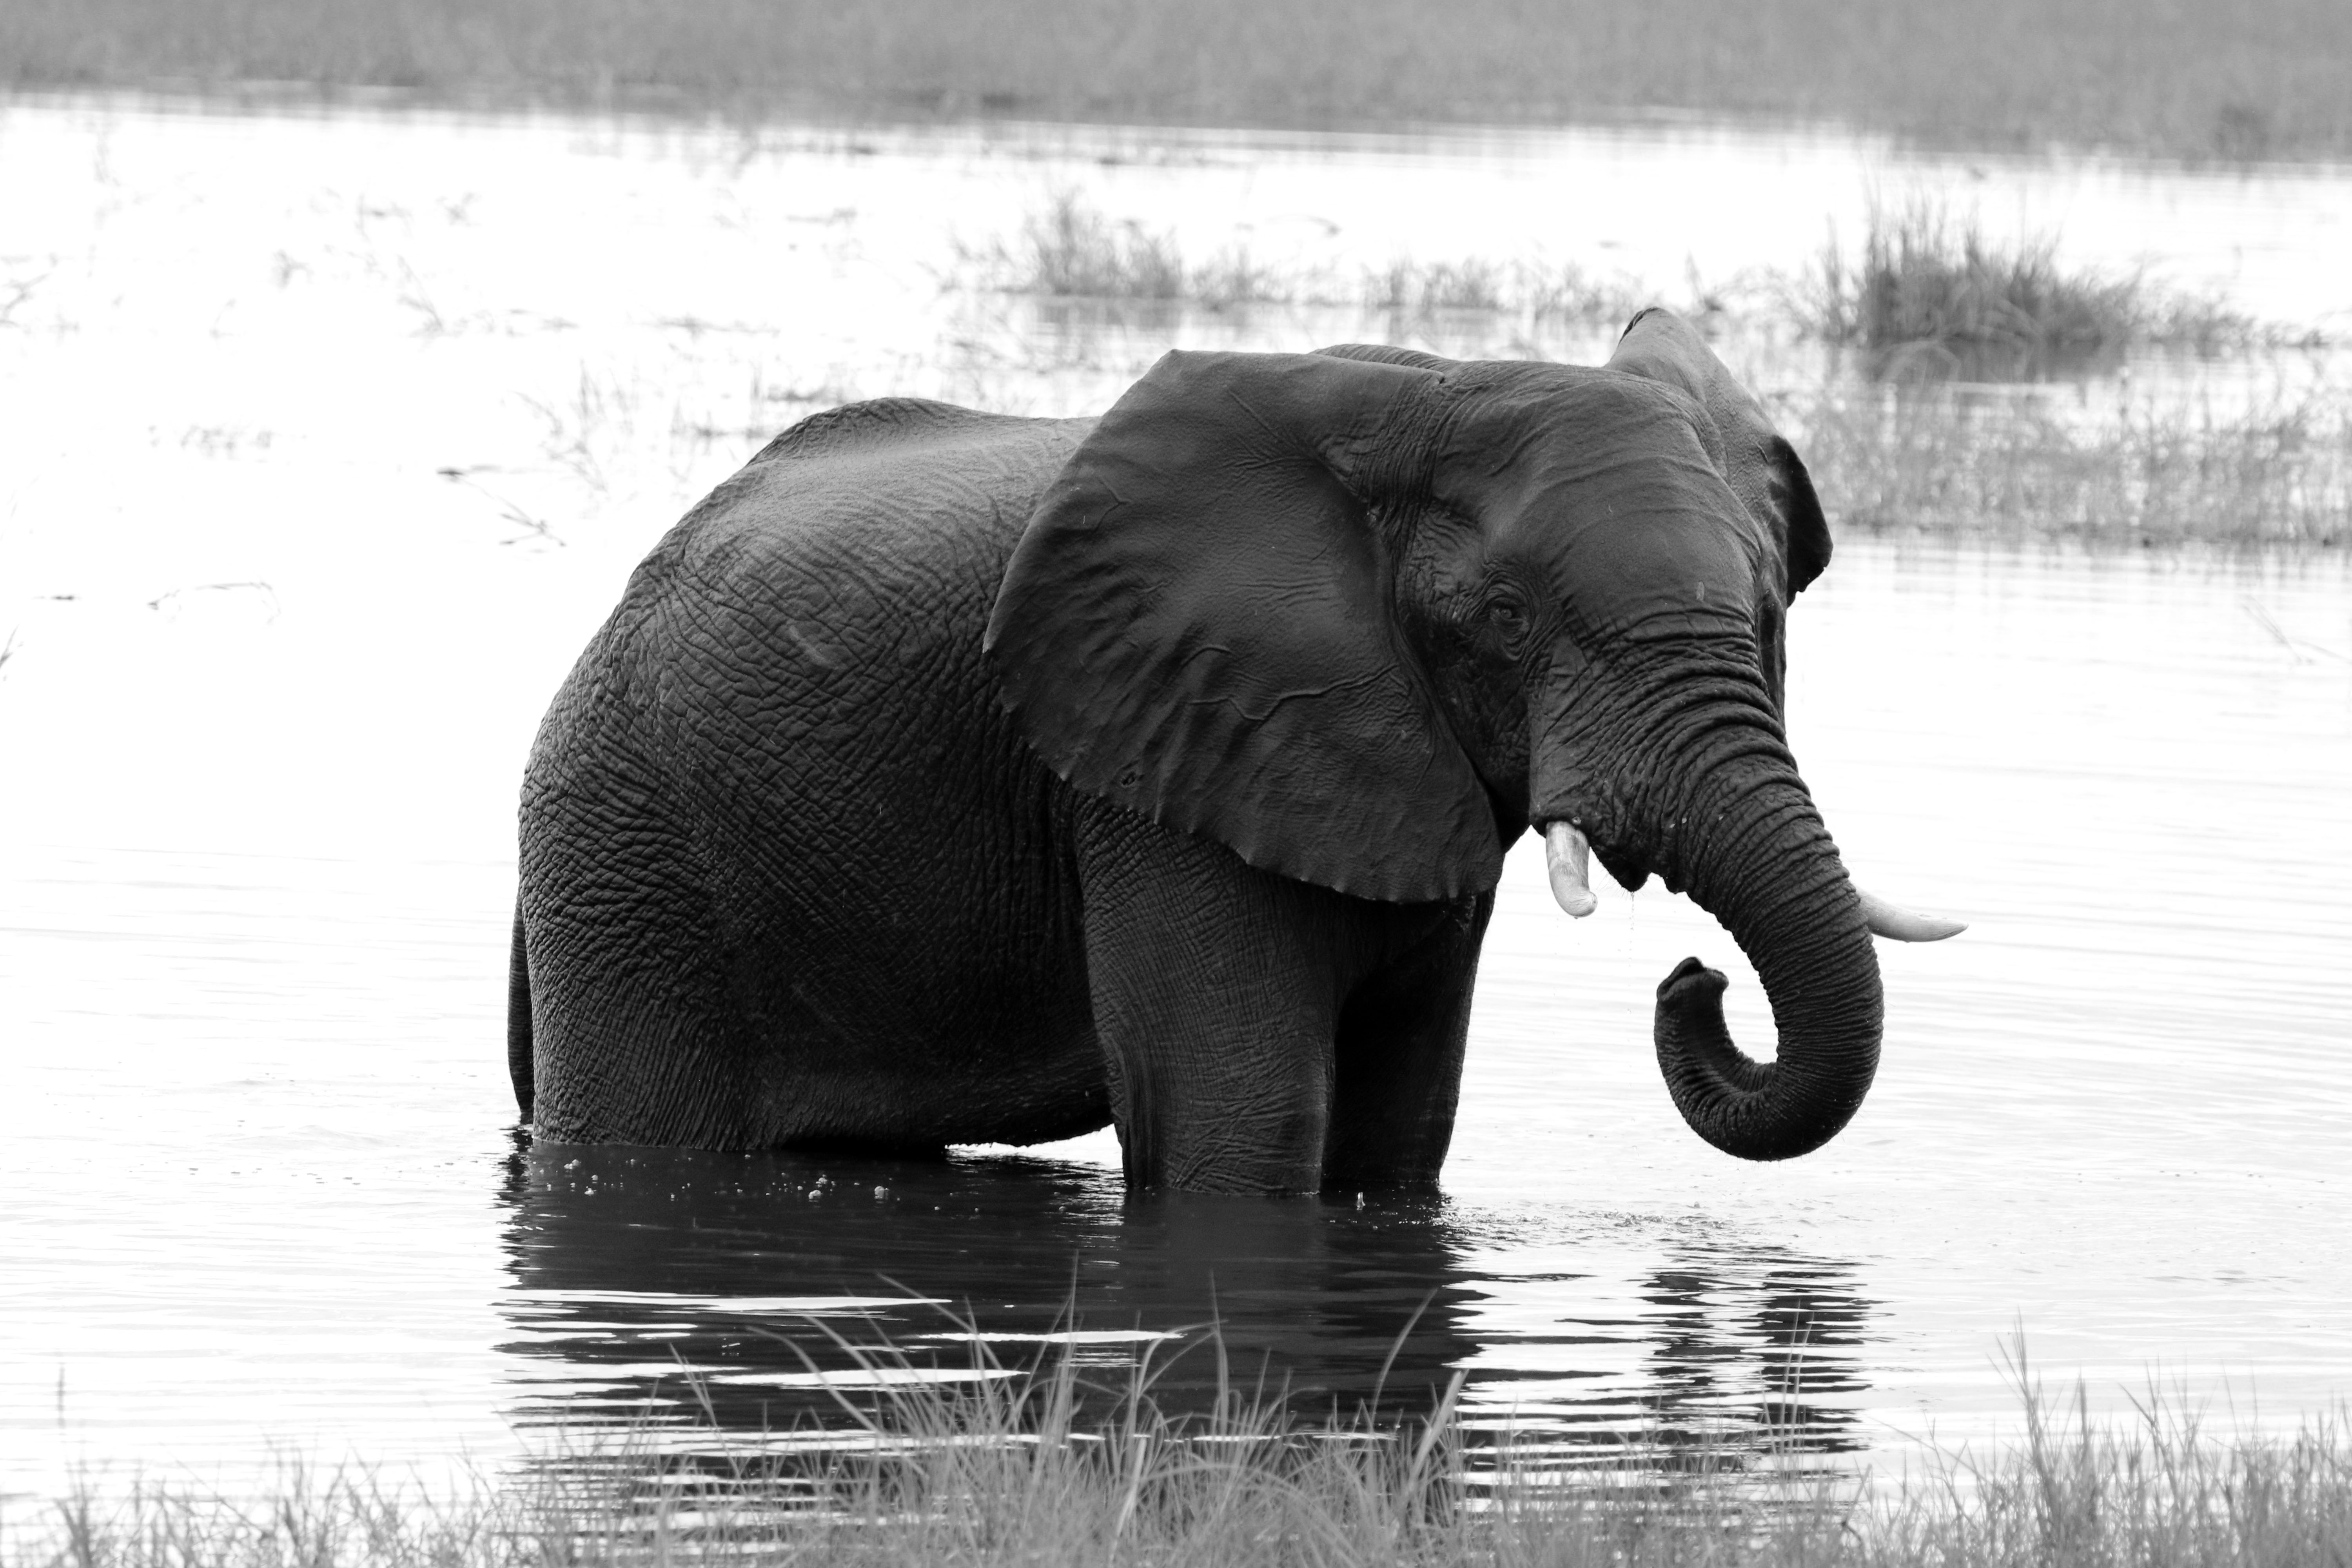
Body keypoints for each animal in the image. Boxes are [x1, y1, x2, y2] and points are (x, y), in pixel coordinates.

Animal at [508, 307, 1961, 1195]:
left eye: (1769, 612)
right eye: (1501, 621)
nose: (1693, 982)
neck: (1427, 397)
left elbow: (1398, 1133)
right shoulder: (1161, 764)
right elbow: (1243, 1133)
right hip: (625, 851)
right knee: (647, 1137)